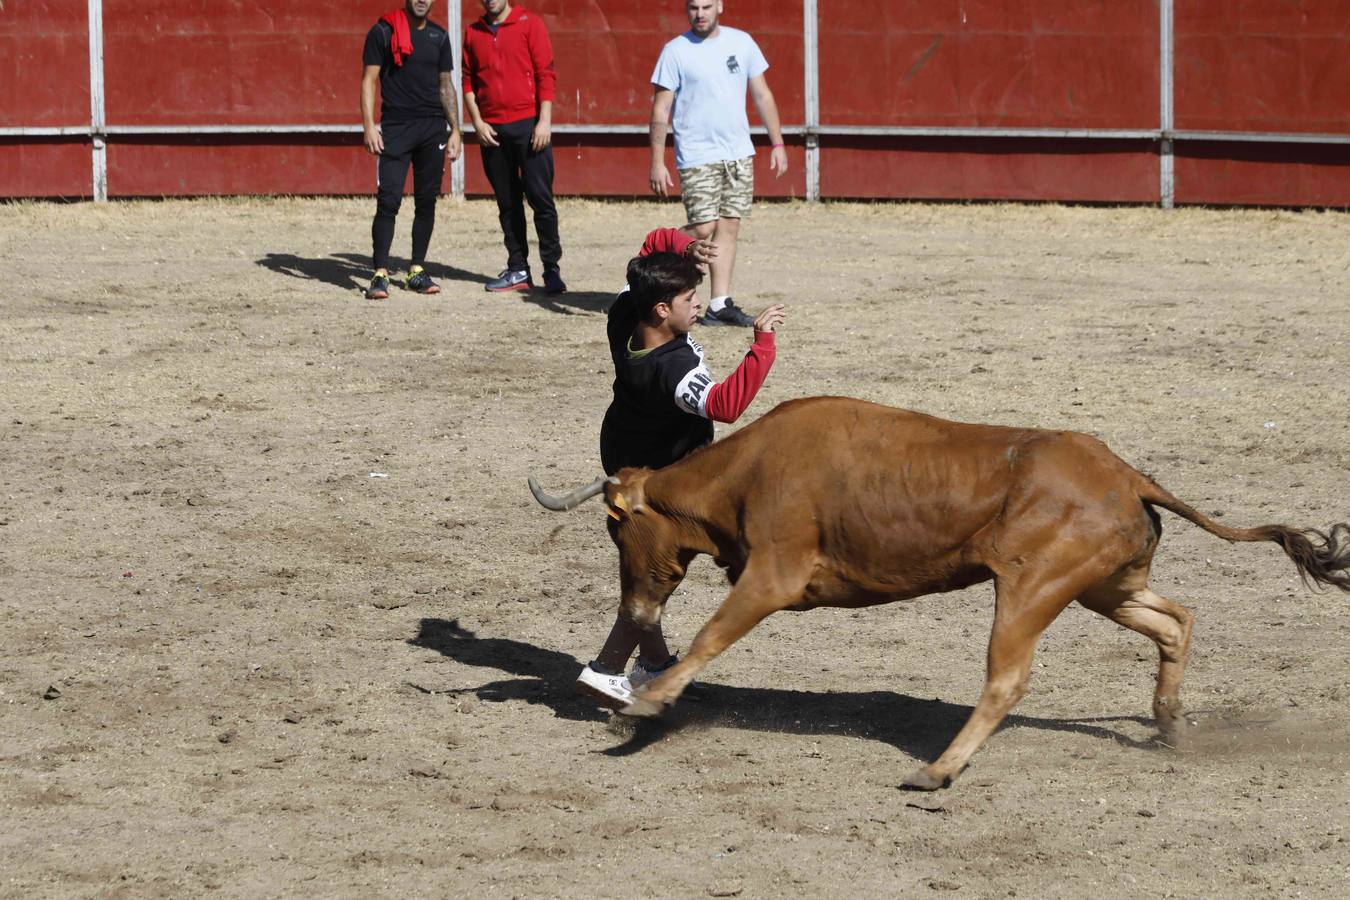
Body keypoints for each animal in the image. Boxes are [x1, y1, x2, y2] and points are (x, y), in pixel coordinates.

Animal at [529, 399, 1350, 788]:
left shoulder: (773, 576)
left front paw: (646, 703)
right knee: (1176, 619)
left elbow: (709, 636)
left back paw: (938, 770)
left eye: (617, 528)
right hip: (1102, 588)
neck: (744, 470)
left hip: (1030, 590)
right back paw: (1170, 723)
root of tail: (1125, 474)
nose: (634, 612)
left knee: (1006, 679)